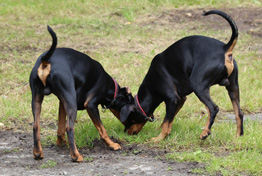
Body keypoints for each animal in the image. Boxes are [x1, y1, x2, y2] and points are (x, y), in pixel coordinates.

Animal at [29, 25, 134, 162]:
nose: (130, 131)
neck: (110, 88)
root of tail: (46, 61)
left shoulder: (62, 102)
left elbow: (60, 127)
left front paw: (61, 143)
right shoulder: (90, 105)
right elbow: (102, 129)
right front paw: (112, 145)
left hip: (37, 98)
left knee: (36, 126)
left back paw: (38, 153)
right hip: (71, 102)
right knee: (70, 128)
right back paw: (76, 155)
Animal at [120, 10, 244, 142]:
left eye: (130, 120)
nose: (126, 133)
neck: (151, 84)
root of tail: (225, 48)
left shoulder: (172, 98)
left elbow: (167, 122)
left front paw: (158, 138)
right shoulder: (180, 99)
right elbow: (168, 120)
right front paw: (161, 131)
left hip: (198, 85)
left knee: (213, 108)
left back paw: (205, 132)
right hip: (233, 87)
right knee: (239, 113)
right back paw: (237, 137)